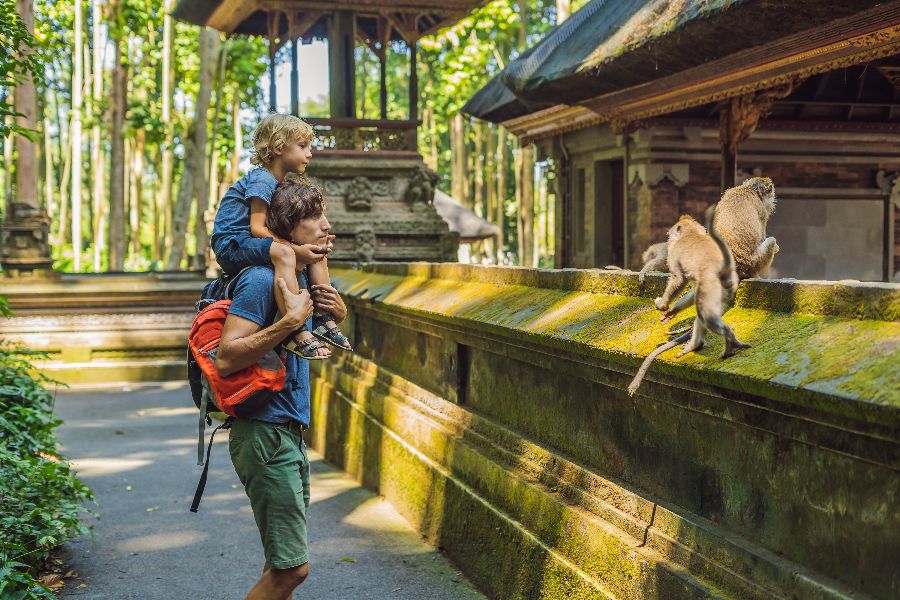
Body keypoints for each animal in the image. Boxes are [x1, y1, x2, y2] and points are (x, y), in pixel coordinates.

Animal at [624, 204, 752, 396]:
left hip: (712, 288)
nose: (669, 238)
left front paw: (663, 304)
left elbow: (679, 279)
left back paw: (728, 339)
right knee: (701, 312)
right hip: (725, 291)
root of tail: (725, 268)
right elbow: (691, 291)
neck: (691, 233)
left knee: (706, 315)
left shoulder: (674, 254)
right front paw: (672, 311)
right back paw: (696, 345)